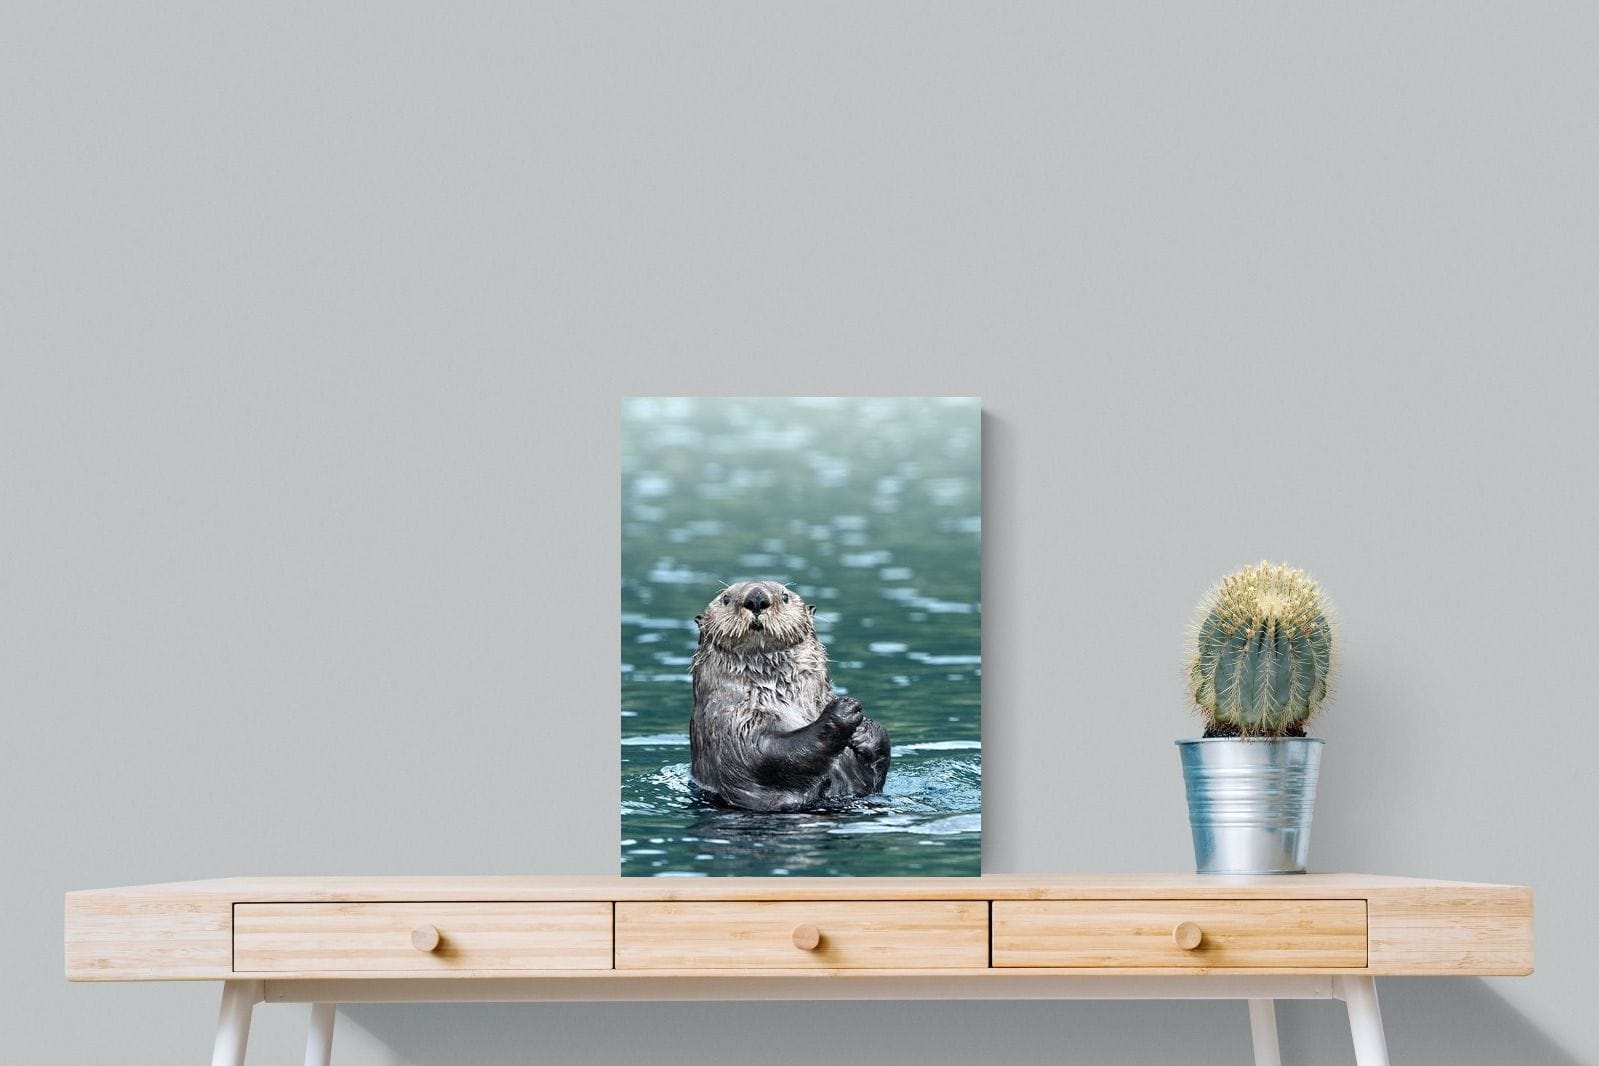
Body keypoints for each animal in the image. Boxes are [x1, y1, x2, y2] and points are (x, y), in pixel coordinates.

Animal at [690, 580, 891, 812]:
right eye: (726, 598)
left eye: (784, 596)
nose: (757, 598)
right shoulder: (730, 725)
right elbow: (766, 754)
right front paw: (842, 710)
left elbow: (873, 778)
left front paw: (865, 730)